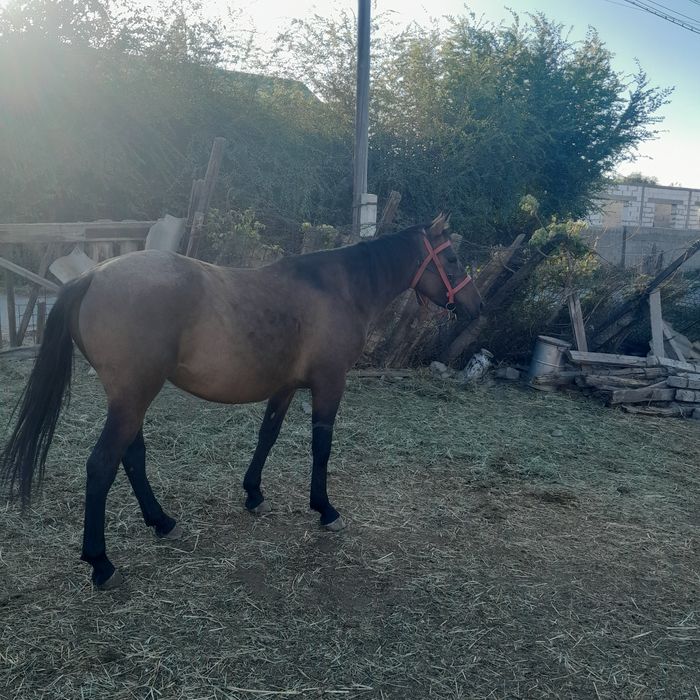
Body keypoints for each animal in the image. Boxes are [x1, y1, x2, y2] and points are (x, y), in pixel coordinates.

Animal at [0, 213, 482, 590]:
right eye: (452, 259)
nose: (476, 307)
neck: (339, 287)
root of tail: (92, 276)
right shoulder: (330, 384)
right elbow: (321, 447)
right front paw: (324, 509)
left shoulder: (285, 386)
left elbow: (267, 435)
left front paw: (253, 493)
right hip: (133, 397)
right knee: (102, 464)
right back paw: (100, 562)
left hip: (129, 398)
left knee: (131, 457)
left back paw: (162, 522)